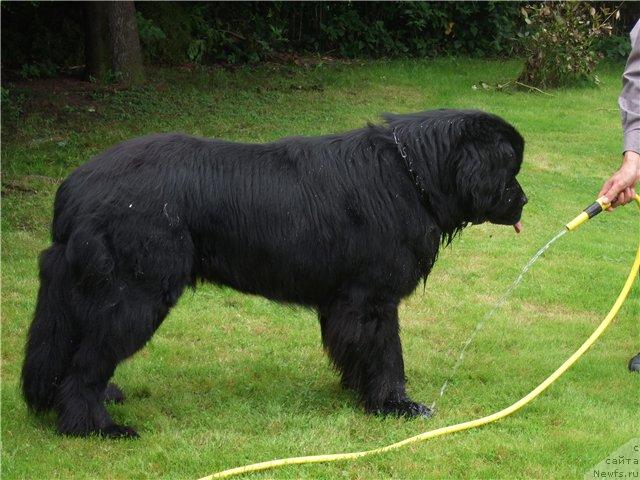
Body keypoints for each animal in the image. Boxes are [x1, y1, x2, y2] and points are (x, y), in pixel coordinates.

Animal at [22, 109, 528, 438]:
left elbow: (356, 350)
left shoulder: (344, 301)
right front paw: (394, 405)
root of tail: (74, 190)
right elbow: (386, 354)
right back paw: (94, 428)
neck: (410, 174)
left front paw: (356, 390)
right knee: (85, 365)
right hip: (135, 294)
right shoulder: (372, 298)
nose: (526, 200)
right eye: (511, 167)